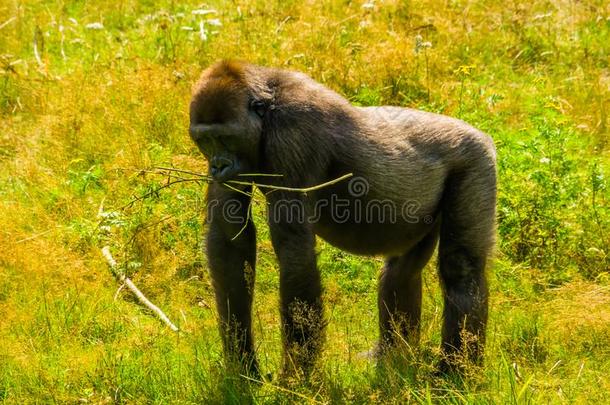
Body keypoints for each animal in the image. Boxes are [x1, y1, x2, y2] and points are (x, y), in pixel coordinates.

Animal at [189, 59, 494, 376]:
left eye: (225, 138)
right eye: (205, 141)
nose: (218, 167)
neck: (268, 109)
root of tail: (479, 133)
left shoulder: (293, 134)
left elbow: (294, 252)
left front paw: (297, 375)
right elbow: (230, 242)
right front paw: (242, 366)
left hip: (475, 160)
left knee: (461, 268)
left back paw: (455, 371)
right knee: (402, 271)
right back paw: (392, 356)